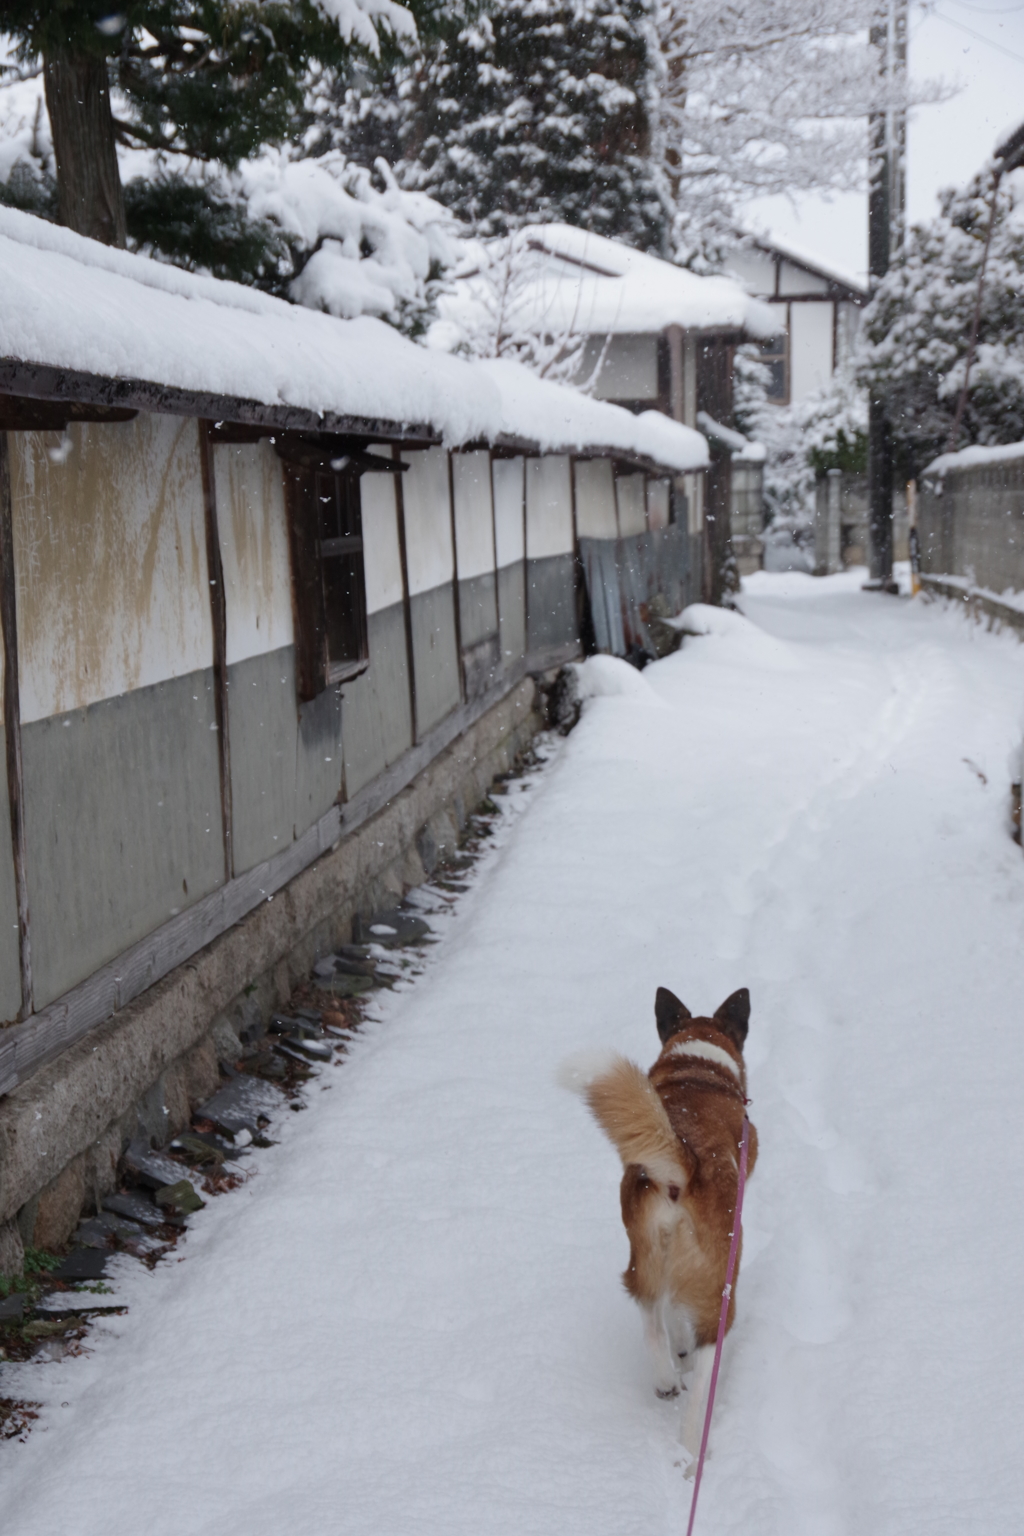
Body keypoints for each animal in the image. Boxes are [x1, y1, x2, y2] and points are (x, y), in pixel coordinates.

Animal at [564, 989, 758, 1456]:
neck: (699, 1065)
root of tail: (683, 1168)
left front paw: (678, 1351)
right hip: (721, 1277)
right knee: (703, 1376)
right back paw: (690, 1453)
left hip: (645, 1252)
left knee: (652, 1316)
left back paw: (667, 1379)